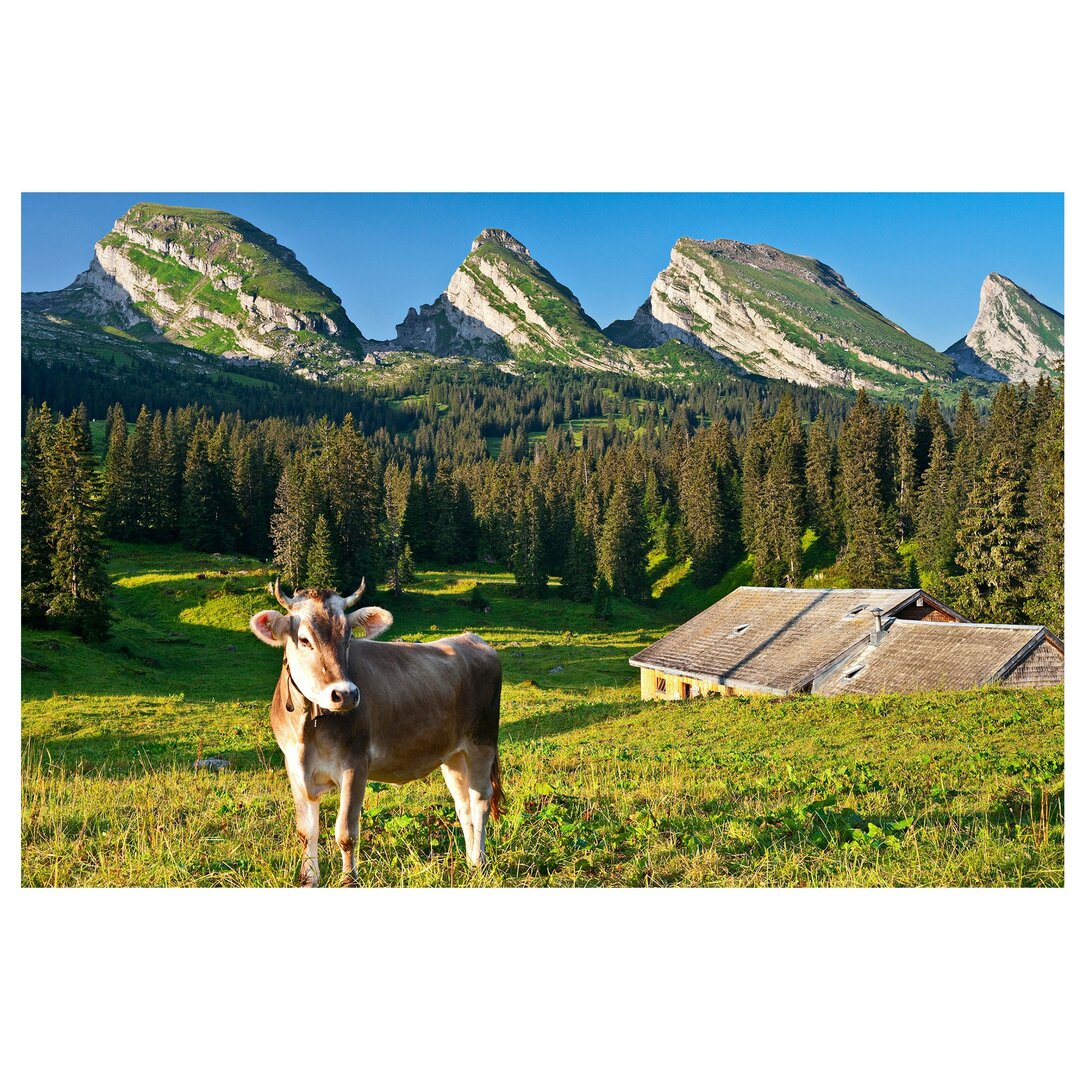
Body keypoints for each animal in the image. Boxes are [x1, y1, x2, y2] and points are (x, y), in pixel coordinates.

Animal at [250, 583, 503, 885]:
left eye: (348, 638)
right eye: (304, 639)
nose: (345, 694)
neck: (307, 731)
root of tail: (472, 638)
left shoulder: (355, 764)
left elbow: (346, 832)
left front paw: (349, 881)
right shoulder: (294, 766)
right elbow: (306, 831)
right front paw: (309, 880)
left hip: (482, 742)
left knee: (480, 801)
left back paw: (480, 861)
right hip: (454, 754)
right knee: (463, 804)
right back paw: (470, 862)